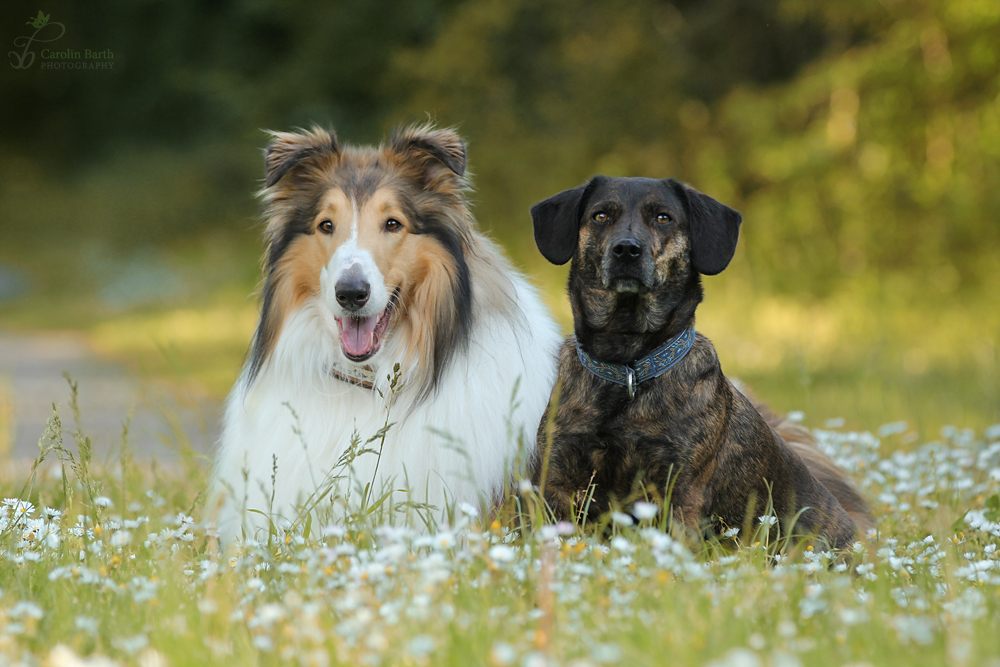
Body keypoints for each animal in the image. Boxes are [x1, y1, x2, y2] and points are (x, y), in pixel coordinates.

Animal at [532, 175, 868, 552]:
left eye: (663, 217)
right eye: (600, 215)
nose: (627, 249)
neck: (628, 365)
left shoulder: (679, 488)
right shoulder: (558, 481)